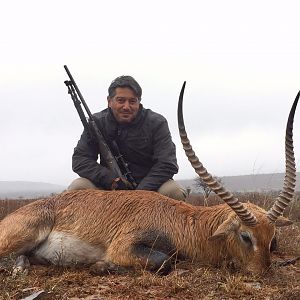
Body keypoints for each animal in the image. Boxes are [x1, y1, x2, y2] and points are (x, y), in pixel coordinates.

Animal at [0, 85, 298, 276]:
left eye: (272, 237)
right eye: (246, 236)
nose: (262, 273)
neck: (182, 222)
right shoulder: (125, 246)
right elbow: (164, 263)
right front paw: (101, 266)